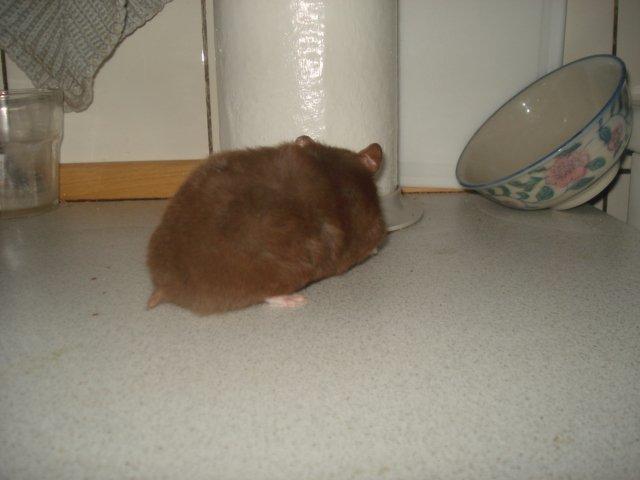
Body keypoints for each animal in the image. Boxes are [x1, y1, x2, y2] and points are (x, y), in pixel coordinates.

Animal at [146, 135, 387, 315]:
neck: (334, 172)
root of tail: (164, 285)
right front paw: (375, 249)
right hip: (279, 276)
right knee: (267, 294)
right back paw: (295, 300)